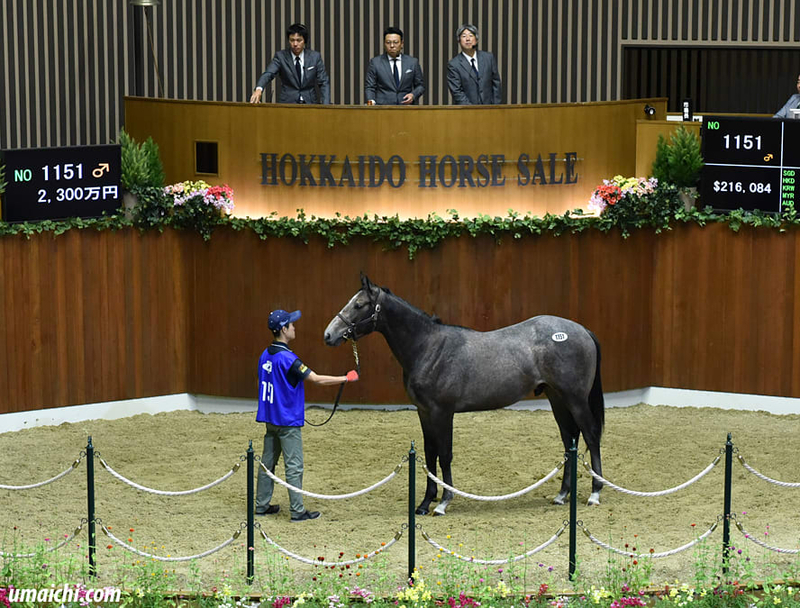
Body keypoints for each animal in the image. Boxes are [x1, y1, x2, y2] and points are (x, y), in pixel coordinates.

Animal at [323, 275, 605, 515]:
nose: (329, 335)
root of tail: (582, 330)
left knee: (591, 435)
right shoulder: (424, 412)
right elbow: (430, 454)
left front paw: (443, 502)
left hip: (575, 399)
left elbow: (445, 455)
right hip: (557, 398)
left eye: (359, 305)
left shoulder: (442, 412)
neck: (428, 348)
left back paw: (595, 493)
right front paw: (425, 502)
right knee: (569, 439)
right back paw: (562, 495)